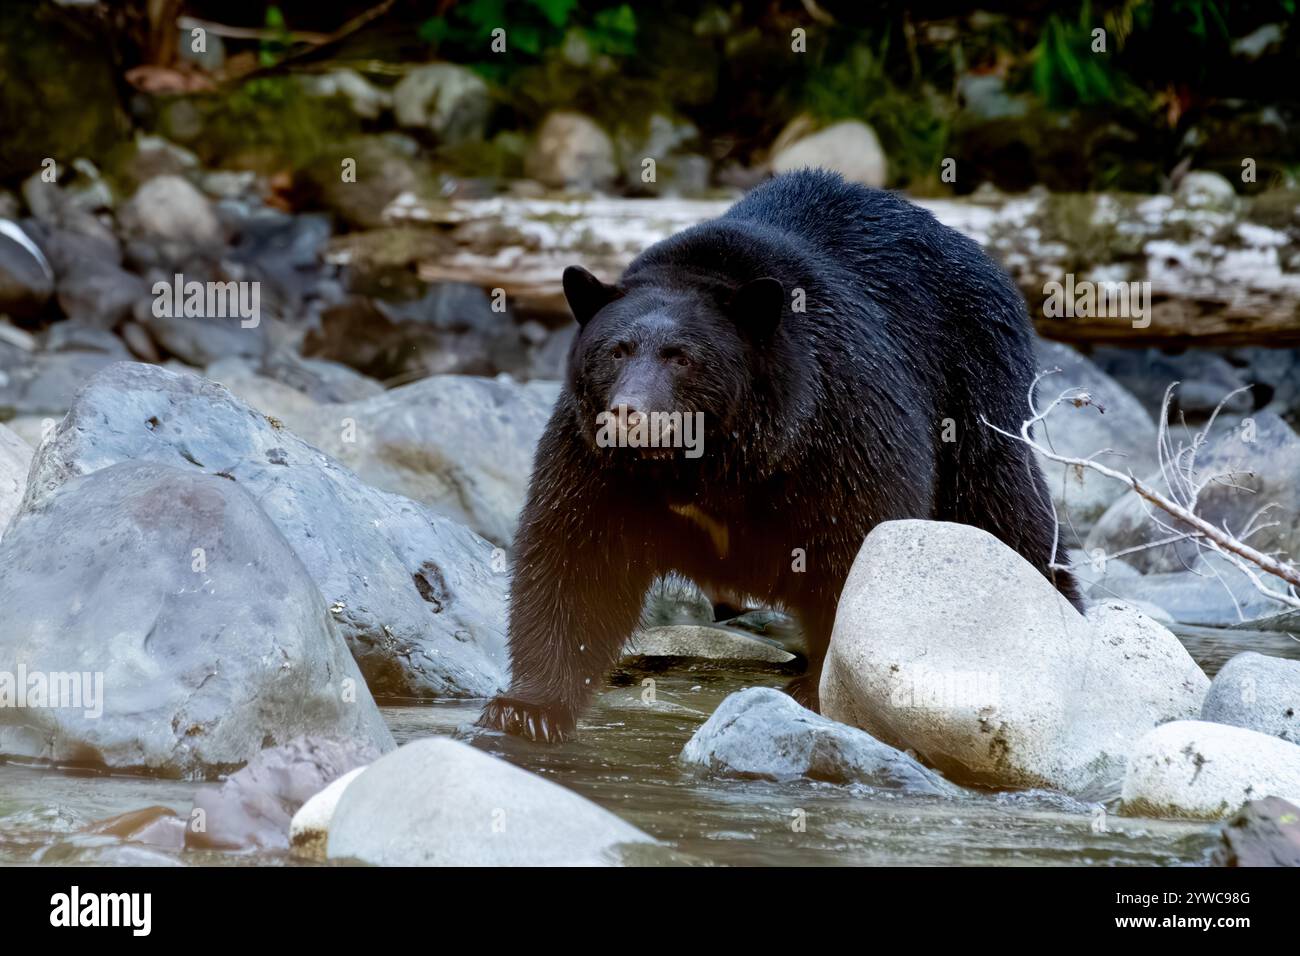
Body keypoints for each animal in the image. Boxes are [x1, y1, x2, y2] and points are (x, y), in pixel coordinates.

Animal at [478, 169, 1082, 743]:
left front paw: (817, 691)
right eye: (616, 351)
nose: (629, 415)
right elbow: (578, 557)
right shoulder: (595, 459)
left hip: (974, 388)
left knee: (1004, 514)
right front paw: (527, 708)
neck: (709, 459)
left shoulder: (838, 428)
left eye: (682, 357)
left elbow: (853, 552)